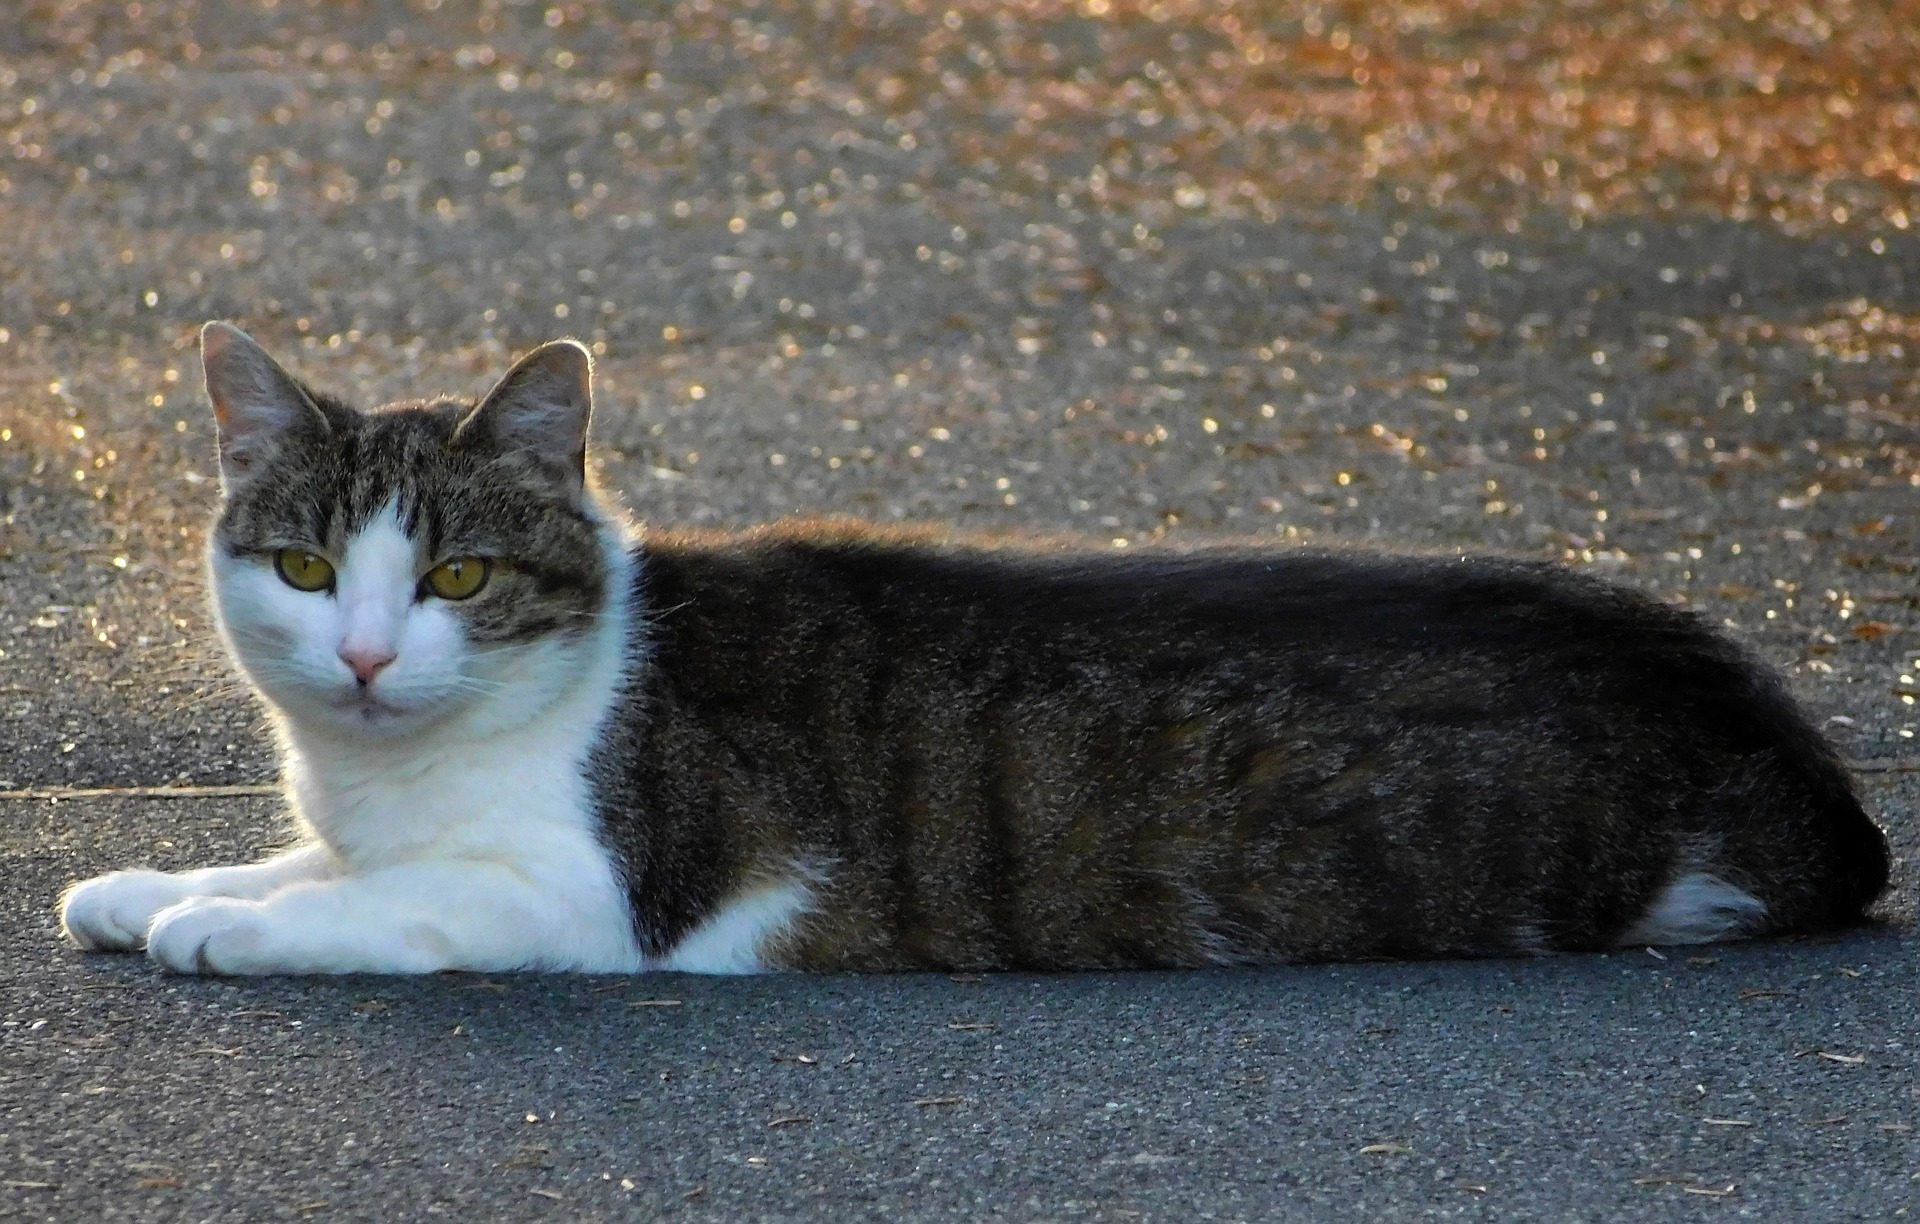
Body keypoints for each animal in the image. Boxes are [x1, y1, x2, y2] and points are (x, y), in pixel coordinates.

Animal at [56, 324, 1889, 978]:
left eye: (458, 574)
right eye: (306, 567)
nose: (367, 657)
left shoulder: (592, 895)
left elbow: (381, 905)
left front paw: (231, 929)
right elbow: (294, 857)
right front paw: (157, 886)